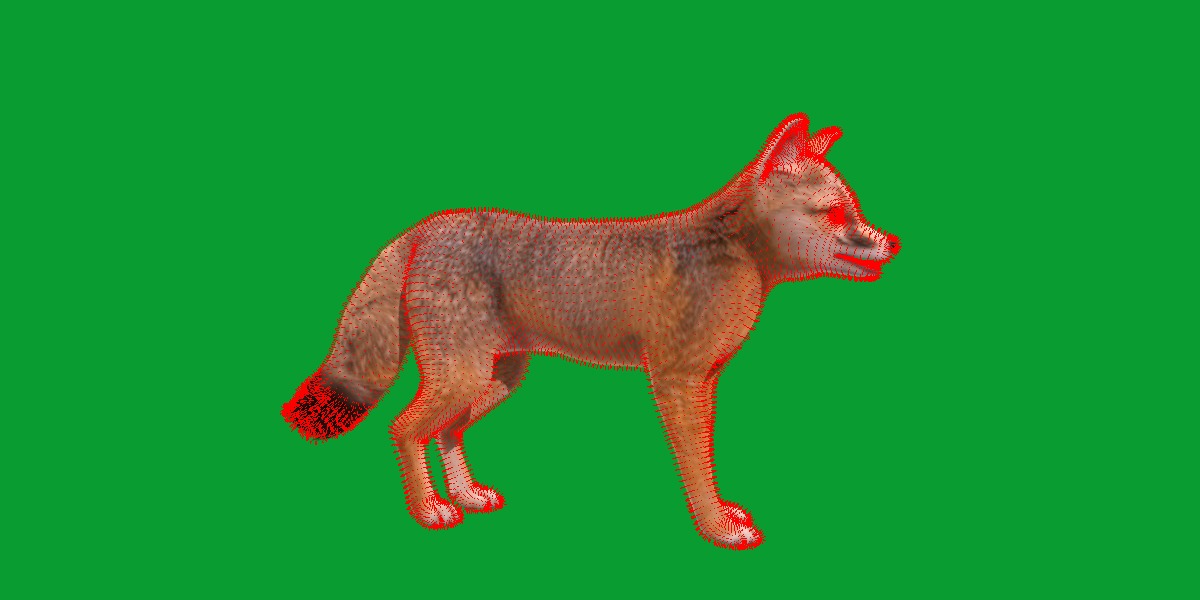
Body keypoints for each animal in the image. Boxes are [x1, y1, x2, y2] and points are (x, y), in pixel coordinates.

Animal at [281, 113, 900, 550]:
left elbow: (705, 458)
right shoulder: (676, 383)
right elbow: (697, 467)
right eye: (835, 214)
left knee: (445, 430)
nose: (892, 242)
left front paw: (719, 519)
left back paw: (466, 496)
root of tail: (429, 226)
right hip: (463, 378)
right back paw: (429, 510)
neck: (736, 257)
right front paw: (716, 528)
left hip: (493, 381)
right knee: (404, 429)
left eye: (855, 210)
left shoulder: (705, 382)